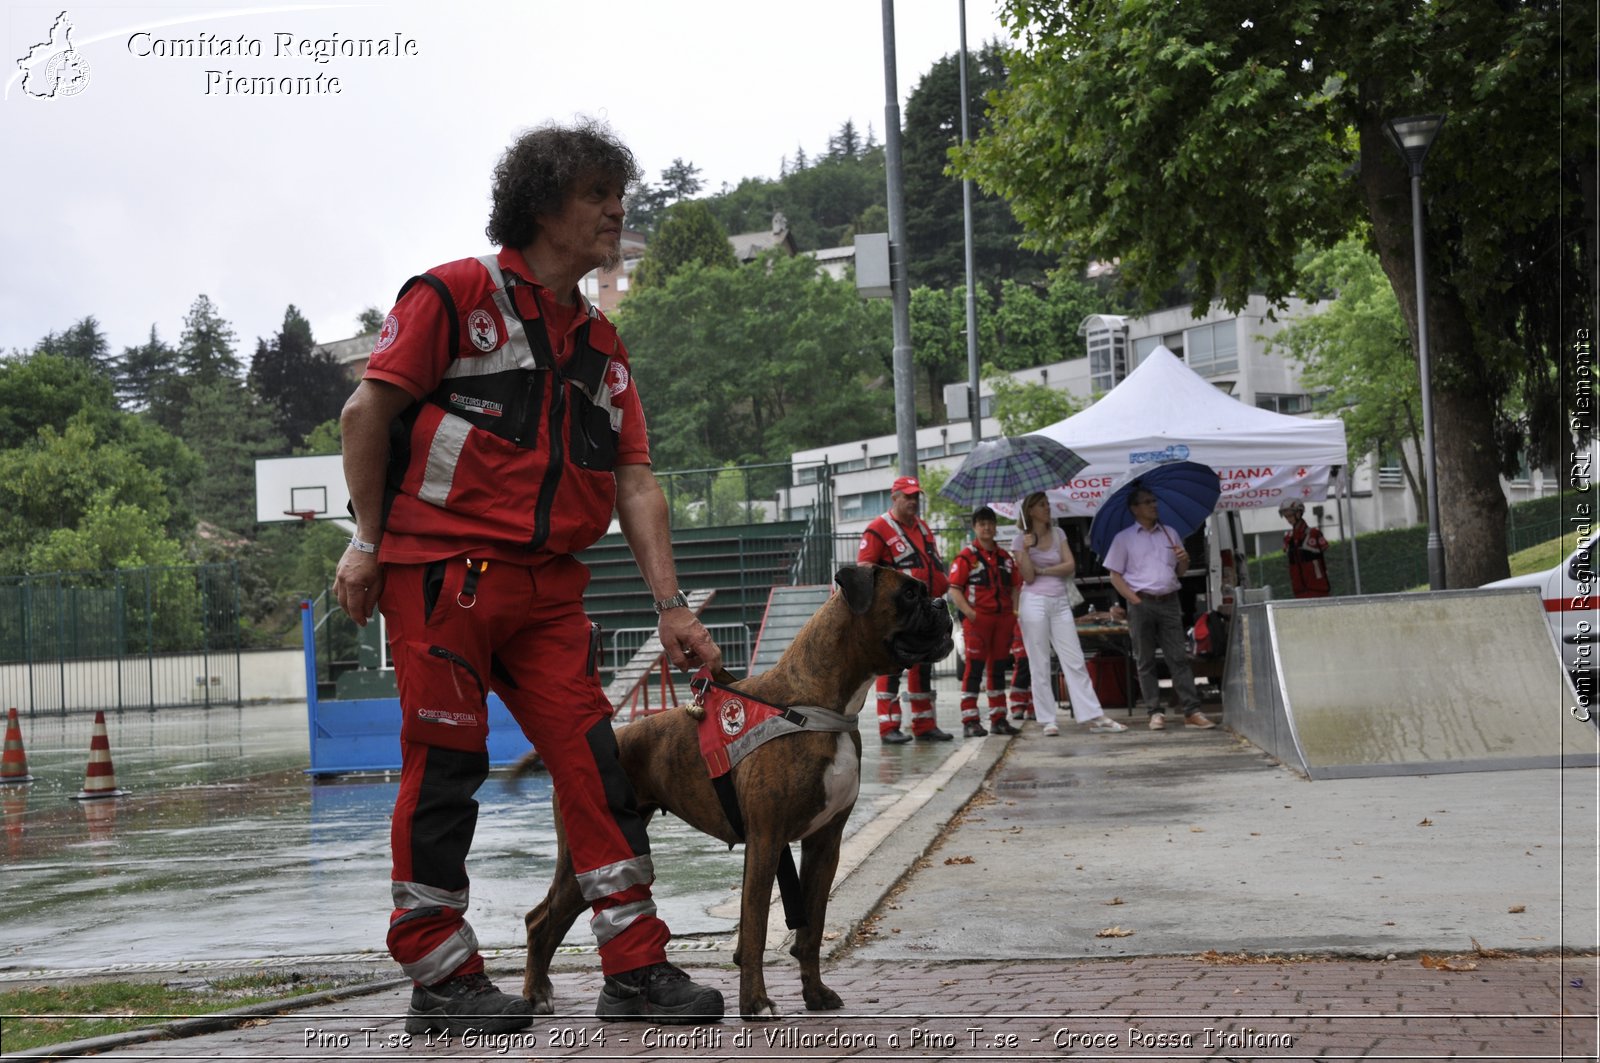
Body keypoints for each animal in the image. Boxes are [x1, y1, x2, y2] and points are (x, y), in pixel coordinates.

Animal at [521, 563, 947, 1024]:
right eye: (909, 594)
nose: (942, 604)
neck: (816, 704)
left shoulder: (824, 843)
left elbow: (811, 928)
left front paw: (815, 994)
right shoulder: (766, 839)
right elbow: (756, 926)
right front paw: (755, 1002)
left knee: (547, 920)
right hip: (588, 854)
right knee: (539, 922)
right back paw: (535, 995)